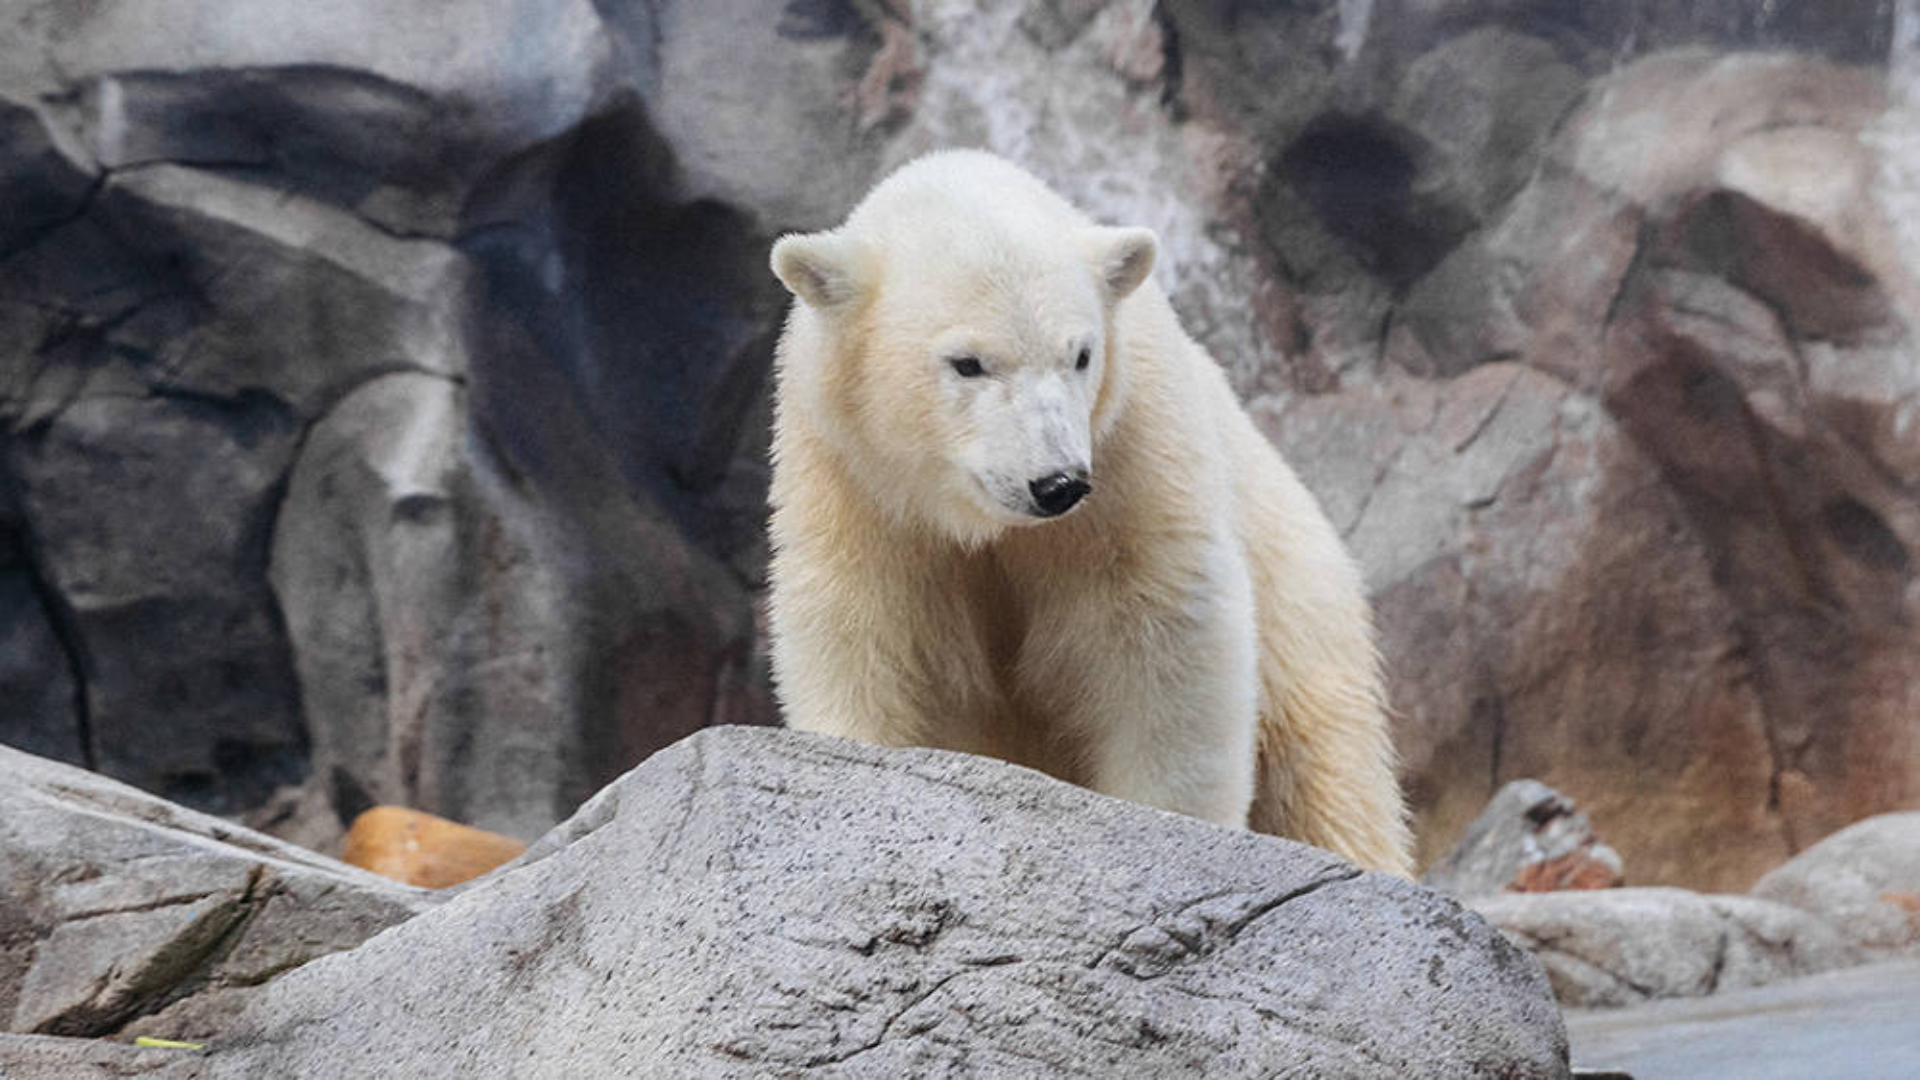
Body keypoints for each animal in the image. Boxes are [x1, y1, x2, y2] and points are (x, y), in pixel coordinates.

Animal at [765, 150, 1412, 876]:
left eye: (1080, 354)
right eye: (968, 363)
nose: (1056, 483)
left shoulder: (1133, 451)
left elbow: (1160, 631)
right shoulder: (852, 480)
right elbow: (860, 622)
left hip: (1302, 598)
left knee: (1325, 775)